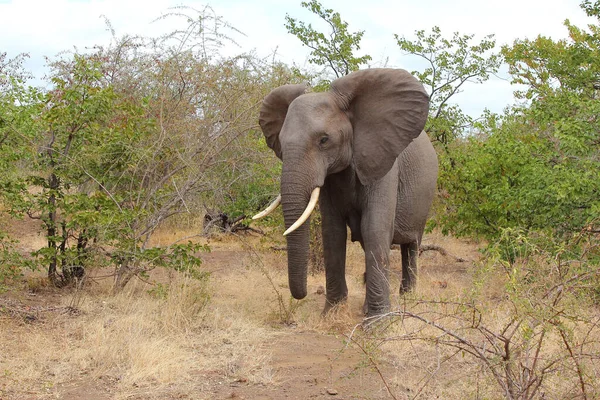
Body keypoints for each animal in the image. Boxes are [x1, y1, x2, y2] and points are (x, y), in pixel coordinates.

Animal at [254, 69, 440, 318]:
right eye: (281, 143)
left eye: (324, 140)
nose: (302, 294)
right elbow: (332, 231)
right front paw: (331, 315)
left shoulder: (383, 165)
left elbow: (375, 228)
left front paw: (377, 322)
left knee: (410, 246)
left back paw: (407, 298)